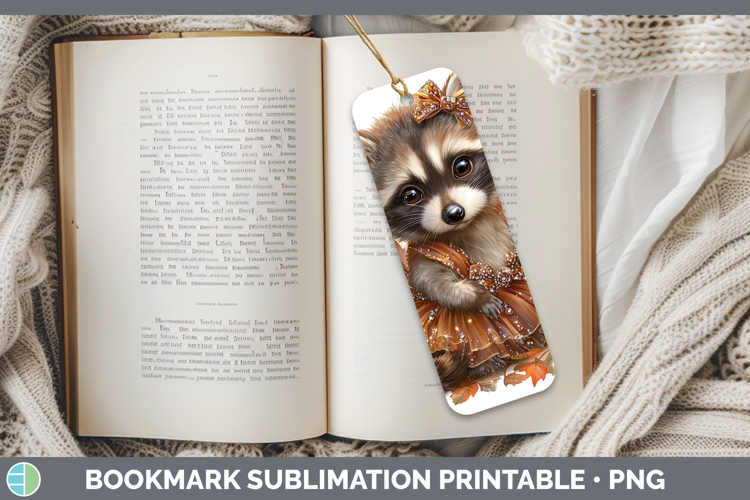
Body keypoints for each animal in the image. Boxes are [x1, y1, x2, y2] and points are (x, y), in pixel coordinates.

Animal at [359, 73, 516, 390]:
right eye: (411, 195)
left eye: (462, 166)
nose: (454, 214)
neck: (471, 225)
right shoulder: (423, 254)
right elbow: (434, 284)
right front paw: (476, 295)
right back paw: (484, 363)